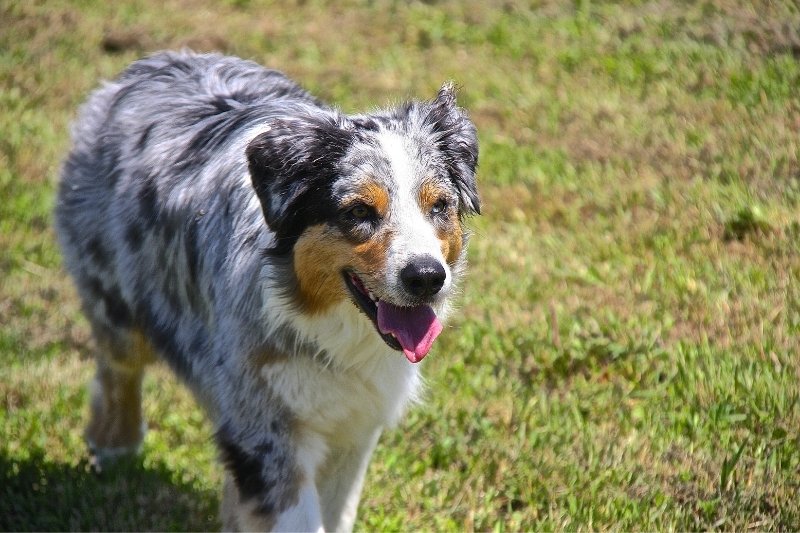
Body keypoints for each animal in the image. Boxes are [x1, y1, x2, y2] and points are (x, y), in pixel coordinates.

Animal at [57, 51, 482, 532]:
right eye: (359, 211)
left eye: (440, 206)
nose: (427, 277)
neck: (326, 327)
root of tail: (151, 63)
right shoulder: (266, 430)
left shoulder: (353, 427)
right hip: (116, 298)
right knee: (118, 365)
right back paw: (115, 443)